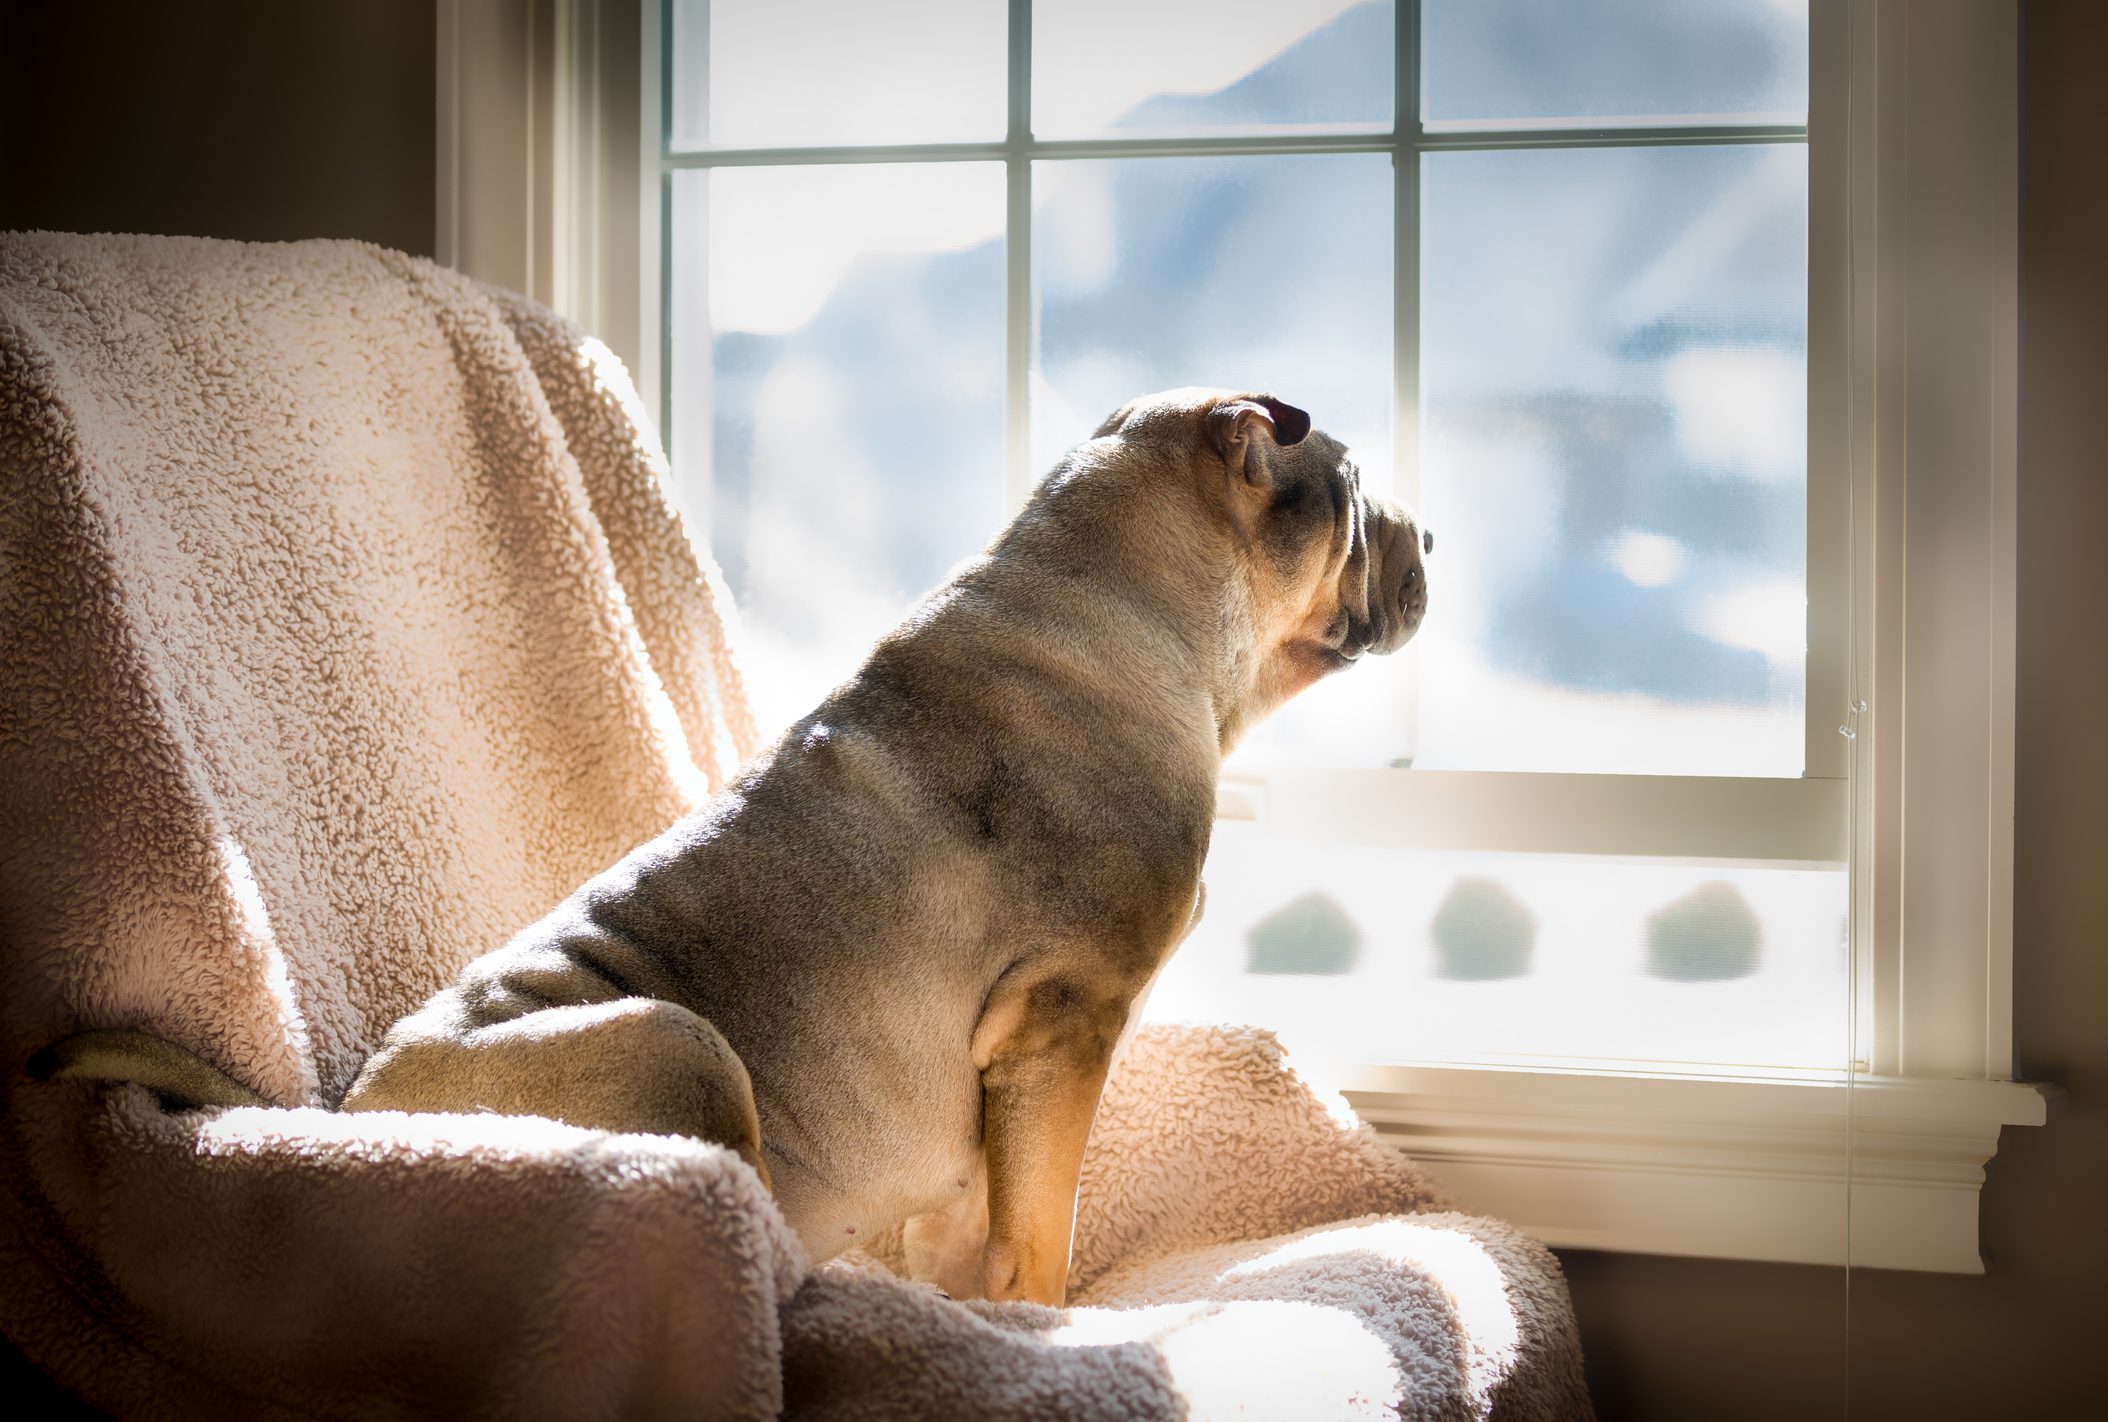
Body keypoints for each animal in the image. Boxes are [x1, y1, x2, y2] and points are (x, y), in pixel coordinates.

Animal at [41, 387, 1433, 1297]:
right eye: (1359, 499)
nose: (1431, 536)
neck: (1126, 602)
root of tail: (344, 1125)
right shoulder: (1064, 1027)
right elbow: (1039, 1231)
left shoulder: (996, 1095)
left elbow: (976, 1225)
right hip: (681, 1043)